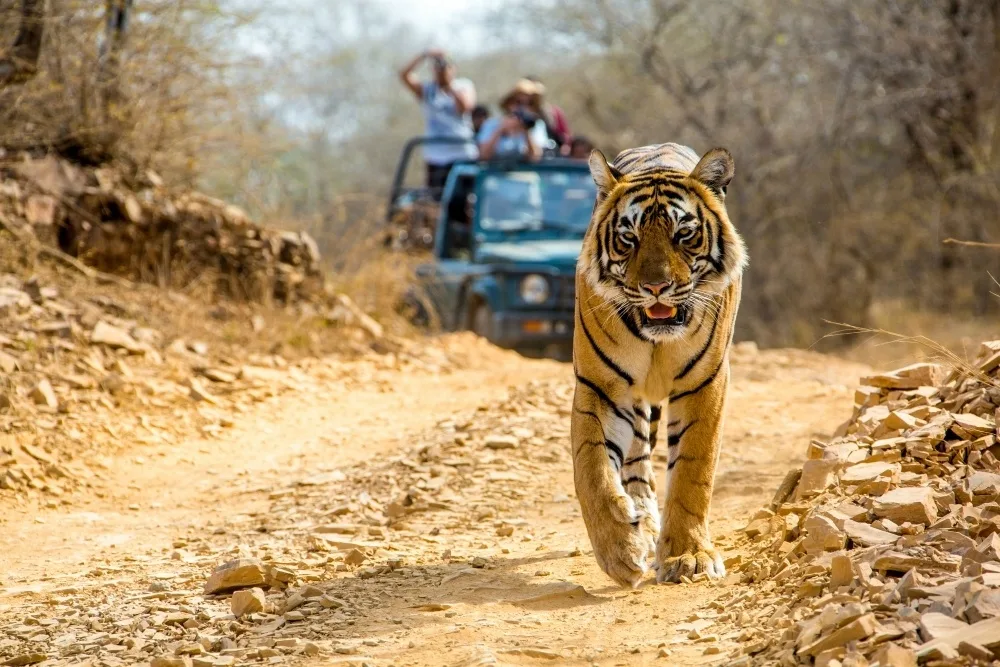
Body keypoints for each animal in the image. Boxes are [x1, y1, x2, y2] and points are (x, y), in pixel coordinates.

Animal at [571, 142, 747, 587]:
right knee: (635, 461)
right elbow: (592, 469)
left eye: (683, 234)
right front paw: (620, 549)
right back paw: (642, 522)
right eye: (628, 238)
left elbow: (692, 473)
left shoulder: (705, 383)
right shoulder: (600, 386)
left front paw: (689, 557)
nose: (655, 287)